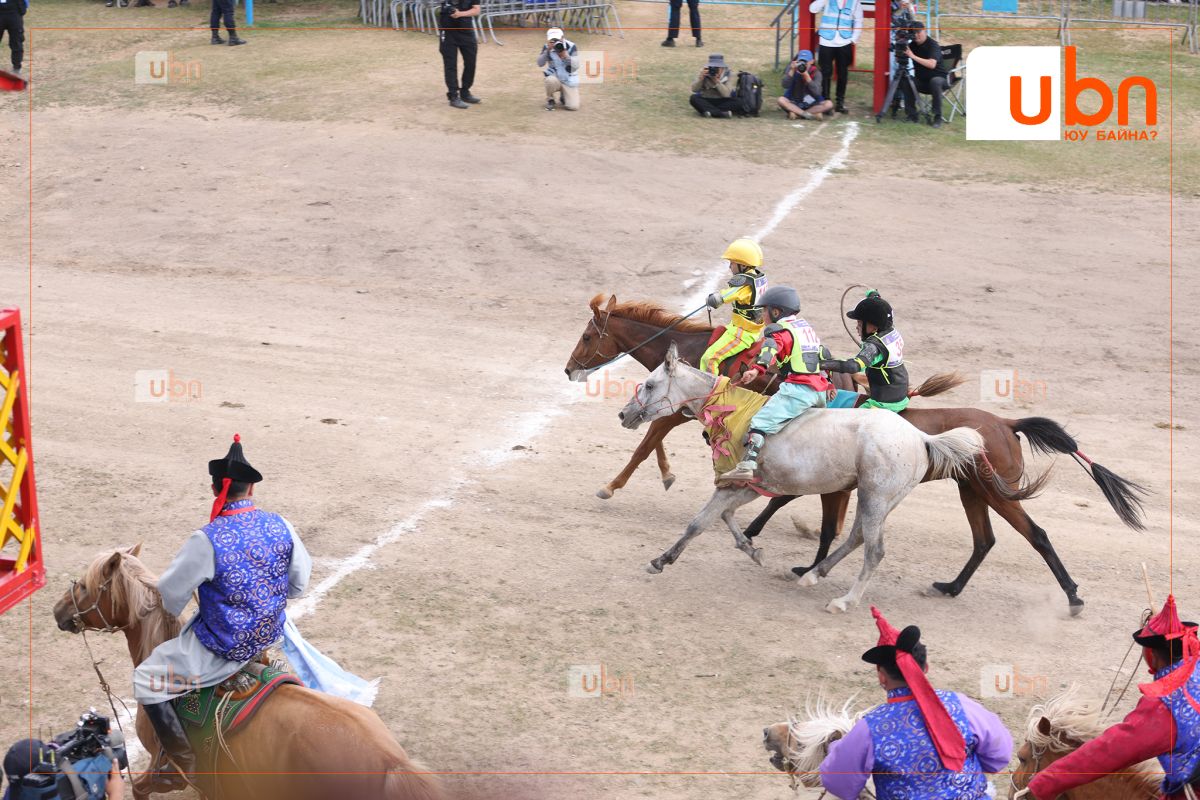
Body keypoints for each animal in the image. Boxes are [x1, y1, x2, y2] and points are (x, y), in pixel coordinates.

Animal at [617, 343, 985, 613]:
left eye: (649, 384)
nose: (624, 413)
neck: (733, 412)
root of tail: (920, 437)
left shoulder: (734, 483)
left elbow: (699, 522)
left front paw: (660, 561)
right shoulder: (751, 487)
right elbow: (724, 516)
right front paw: (750, 549)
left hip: (875, 498)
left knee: (874, 551)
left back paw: (844, 601)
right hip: (877, 501)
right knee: (857, 538)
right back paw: (812, 575)